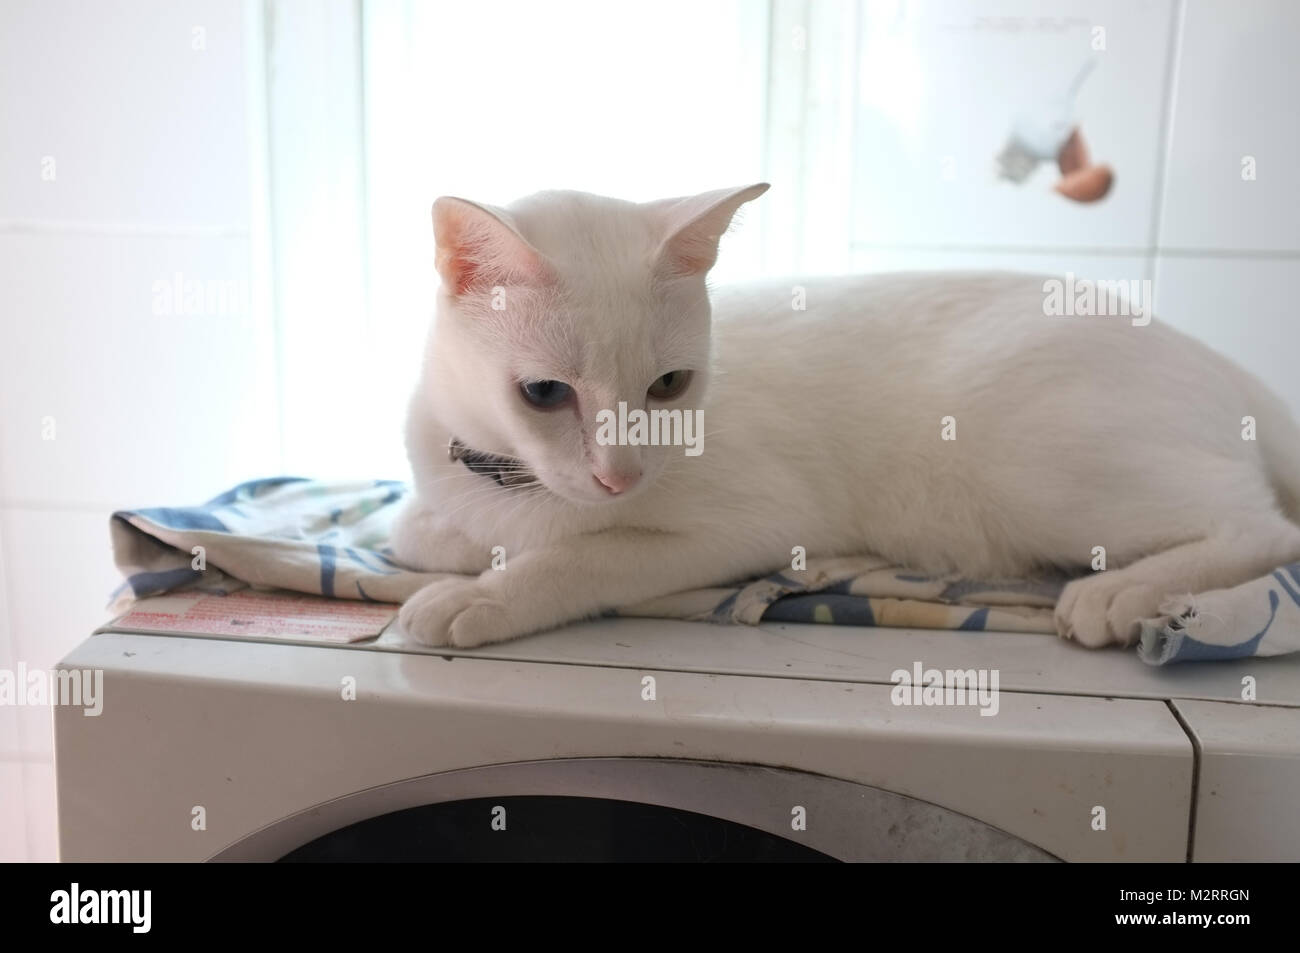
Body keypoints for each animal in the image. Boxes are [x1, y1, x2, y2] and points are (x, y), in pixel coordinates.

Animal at [390, 182, 1300, 650]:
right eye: (545, 394)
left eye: (670, 384)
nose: (621, 475)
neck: (509, 477)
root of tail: (1217, 357)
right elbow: (415, 528)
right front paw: (467, 543)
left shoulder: (748, 524)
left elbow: (584, 557)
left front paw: (481, 595)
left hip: (1038, 471)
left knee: (1263, 526)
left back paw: (1119, 593)